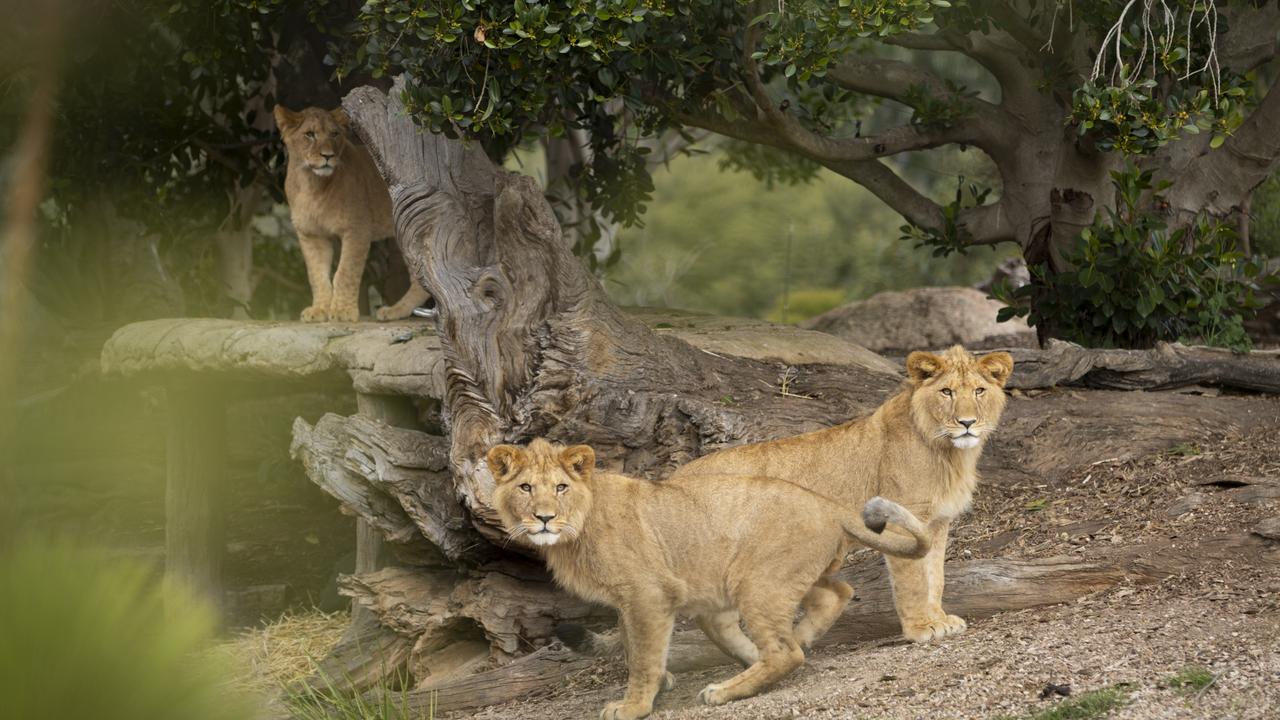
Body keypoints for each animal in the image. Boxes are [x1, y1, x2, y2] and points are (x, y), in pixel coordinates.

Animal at [270, 105, 430, 320]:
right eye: (309, 134)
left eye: (334, 134)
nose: (327, 156)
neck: (311, 184)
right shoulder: (311, 235)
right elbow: (317, 275)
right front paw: (319, 310)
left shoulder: (357, 229)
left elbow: (345, 272)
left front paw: (343, 312)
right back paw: (396, 311)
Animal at [486, 435, 931, 712]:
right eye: (525, 488)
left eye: (561, 487)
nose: (544, 518)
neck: (576, 526)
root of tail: (827, 503)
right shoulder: (630, 599)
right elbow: (631, 643)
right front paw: (660, 684)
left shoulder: (648, 592)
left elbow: (642, 654)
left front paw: (634, 706)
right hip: (758, 585)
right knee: (835, 593)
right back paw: (786, 647)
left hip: (758, 582)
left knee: (785, 650)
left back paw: (725, 689)